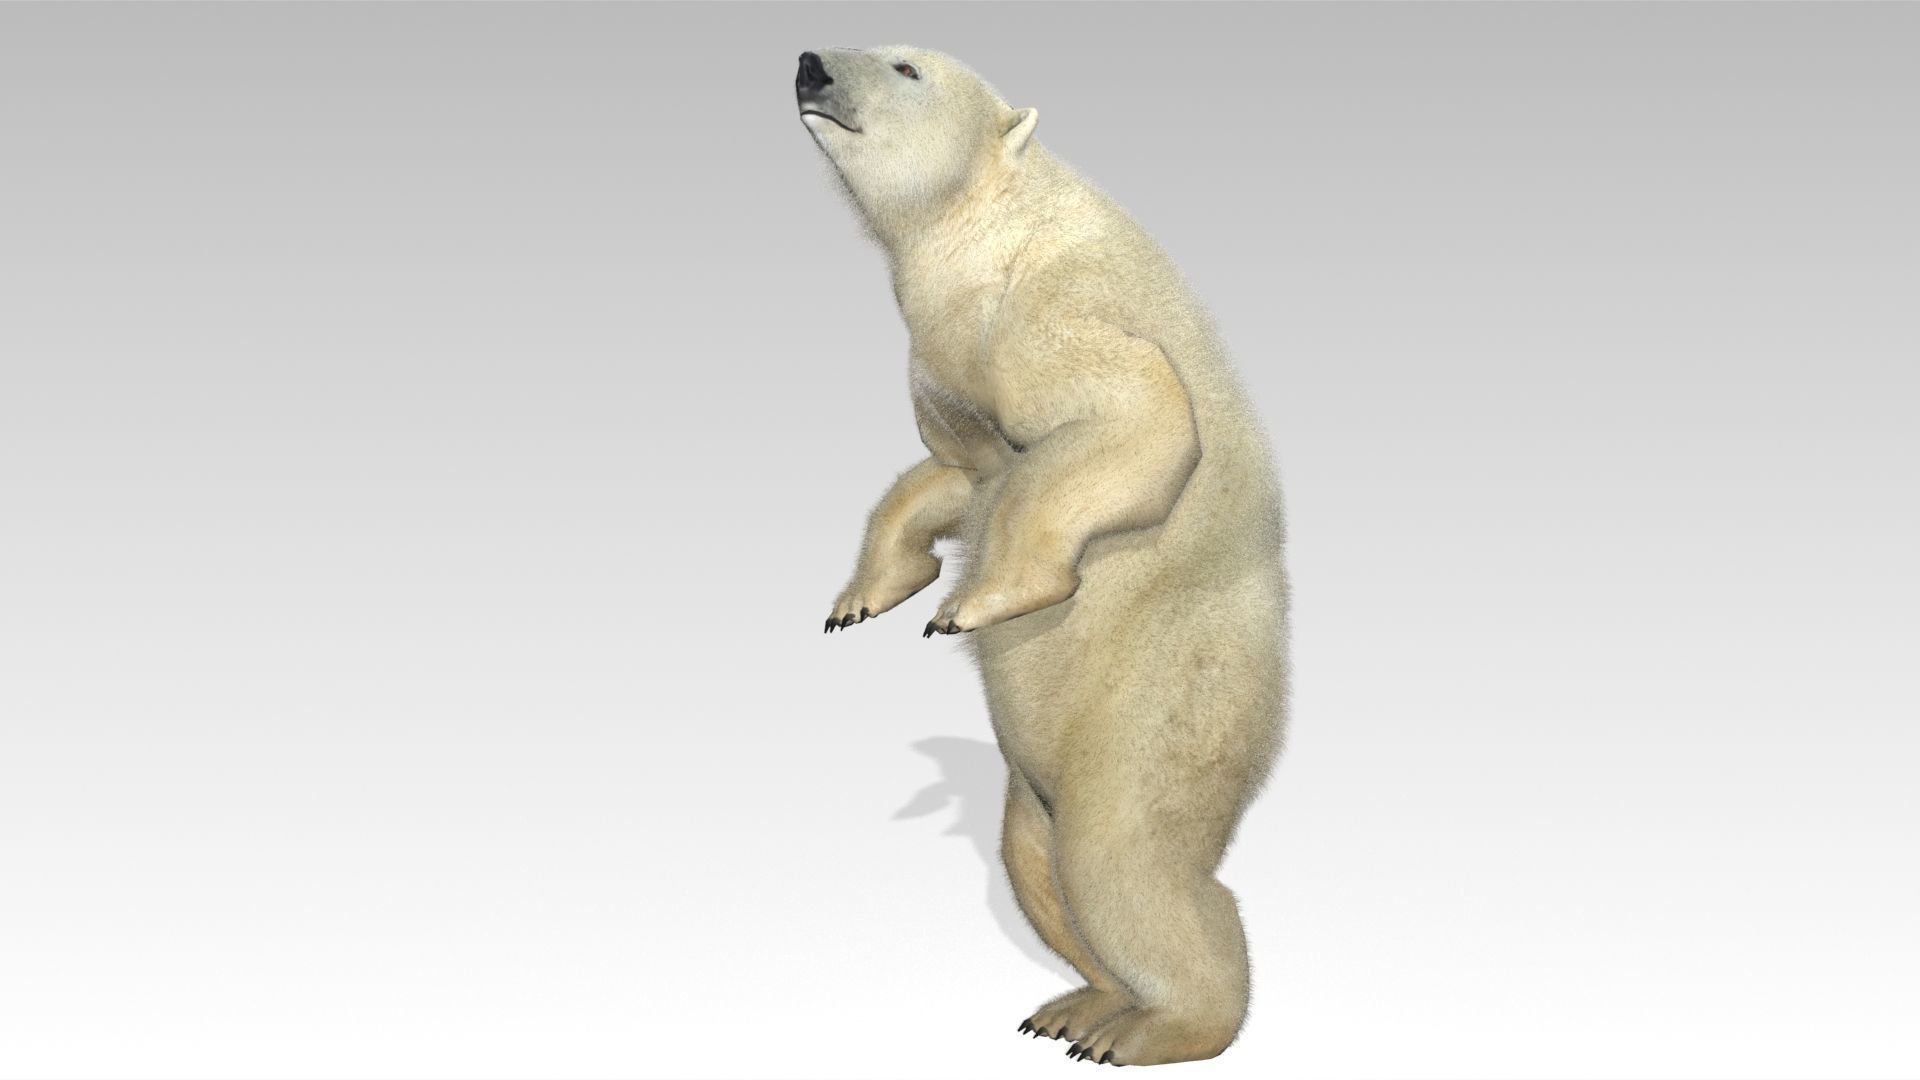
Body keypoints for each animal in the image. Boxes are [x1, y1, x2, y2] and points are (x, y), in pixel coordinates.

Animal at [797, 45, 1290, 1067]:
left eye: (905, 64)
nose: (809, 63)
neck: (989, 227)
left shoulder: (1046, 314)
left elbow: (1132, 413)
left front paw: (973, 605)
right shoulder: (945, 361)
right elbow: (950, 474)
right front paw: (862, 598)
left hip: (1163, 705)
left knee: (1122, 859)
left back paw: (1152, 1030)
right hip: (1033, 780)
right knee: (1036, 864)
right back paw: (1080, 1007)